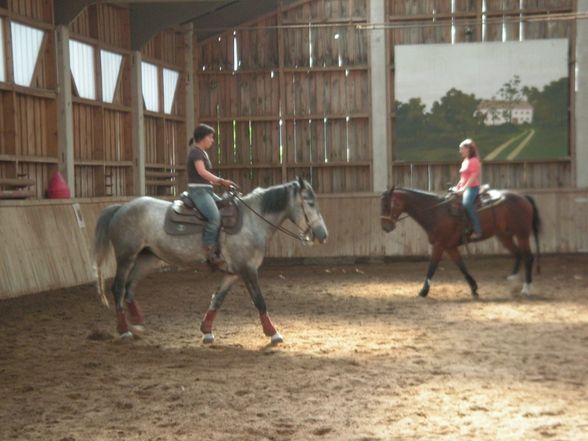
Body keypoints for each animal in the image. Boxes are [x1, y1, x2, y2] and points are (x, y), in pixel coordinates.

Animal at [94, 178, 328, 344]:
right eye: (309, 202)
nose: (322, 235)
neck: (252, 221)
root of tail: (121, 208)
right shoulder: (248, 269)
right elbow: (260, 301)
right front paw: (273, 333)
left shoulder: (233, 273)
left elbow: (217, 298)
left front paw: (206, 331)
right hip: (126, 256)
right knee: (118, 288)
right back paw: (124, 330)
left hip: (147, 259)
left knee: (130, 287)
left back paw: (138, 323)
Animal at [382, 187, 544, 298]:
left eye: (388, 205)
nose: (385, 227)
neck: (437, 212)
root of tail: (523, 196)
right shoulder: (450, 247)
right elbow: (462, 266)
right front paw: (474, 288)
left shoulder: (440, 245)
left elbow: (432, 267)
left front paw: (423, 291)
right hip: (505, 236)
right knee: (518, 254)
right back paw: (513, 281)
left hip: (522, 234)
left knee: (528, 257)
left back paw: (526, 288)